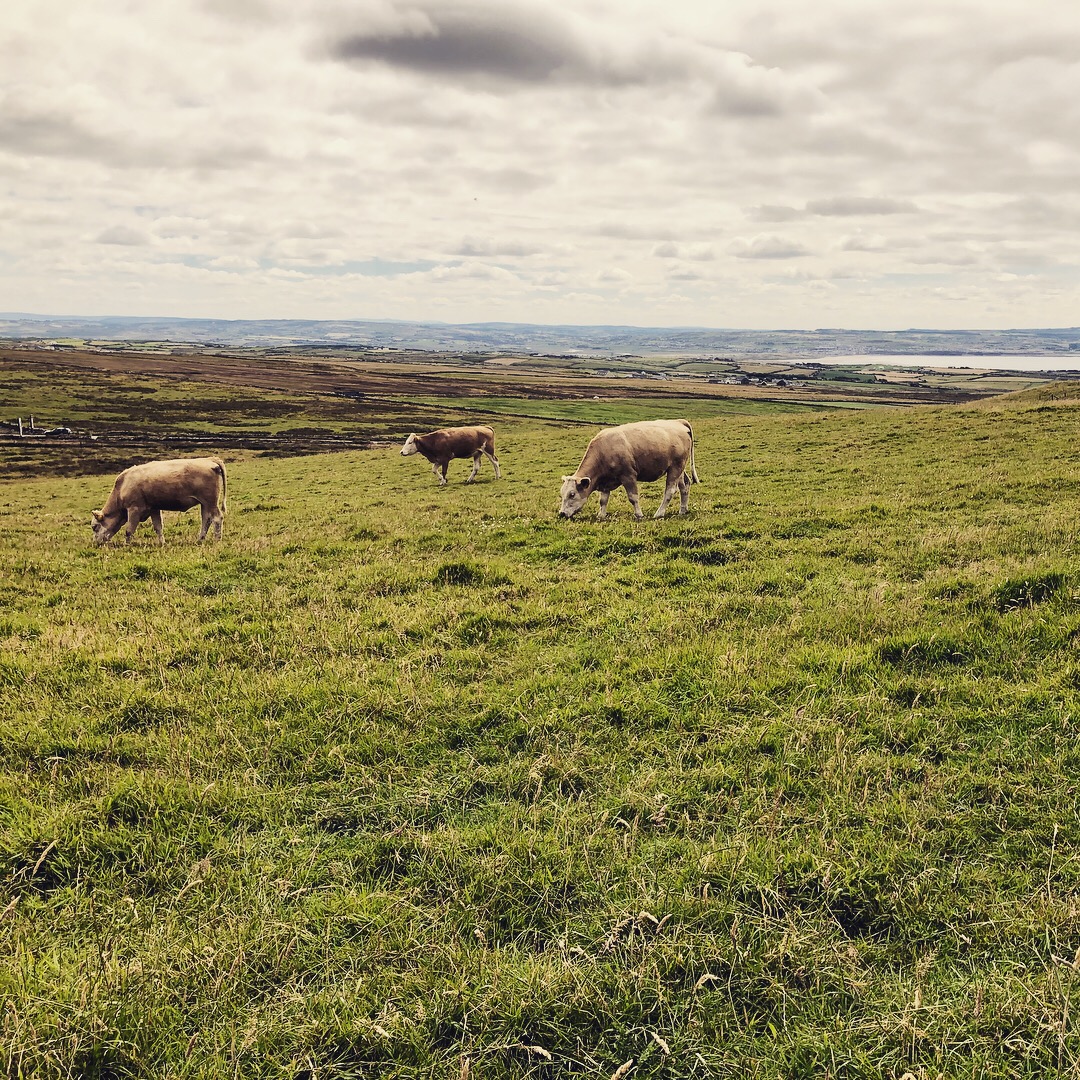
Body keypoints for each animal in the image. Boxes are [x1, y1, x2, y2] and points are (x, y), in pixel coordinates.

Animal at [91, 457, 227, 548]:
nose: (96, 543)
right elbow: (158, 527)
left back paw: (217, 539)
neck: (122, 487)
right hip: (205, 504)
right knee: (206, 520)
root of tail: (209, 460)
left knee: (217, 518)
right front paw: (162, 543)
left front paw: (126, 545)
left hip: (210, 502)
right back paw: (200, 540)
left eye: (95, 527)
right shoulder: (154, 509)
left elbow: (129, 530)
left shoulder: (134, 509)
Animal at [557, 419, 699, 520]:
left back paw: (659, 513)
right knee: (685, 485)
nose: (561, 513)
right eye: (562, 493)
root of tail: (678, 422)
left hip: (676, 467)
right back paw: (683, 510)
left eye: (572, 494)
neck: (603, 451)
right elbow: (603, 500)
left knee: (670, 491)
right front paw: (601, 515)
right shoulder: (606, 482)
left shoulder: (628, 476)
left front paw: (639, 515)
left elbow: (633, 497)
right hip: (678, 468)